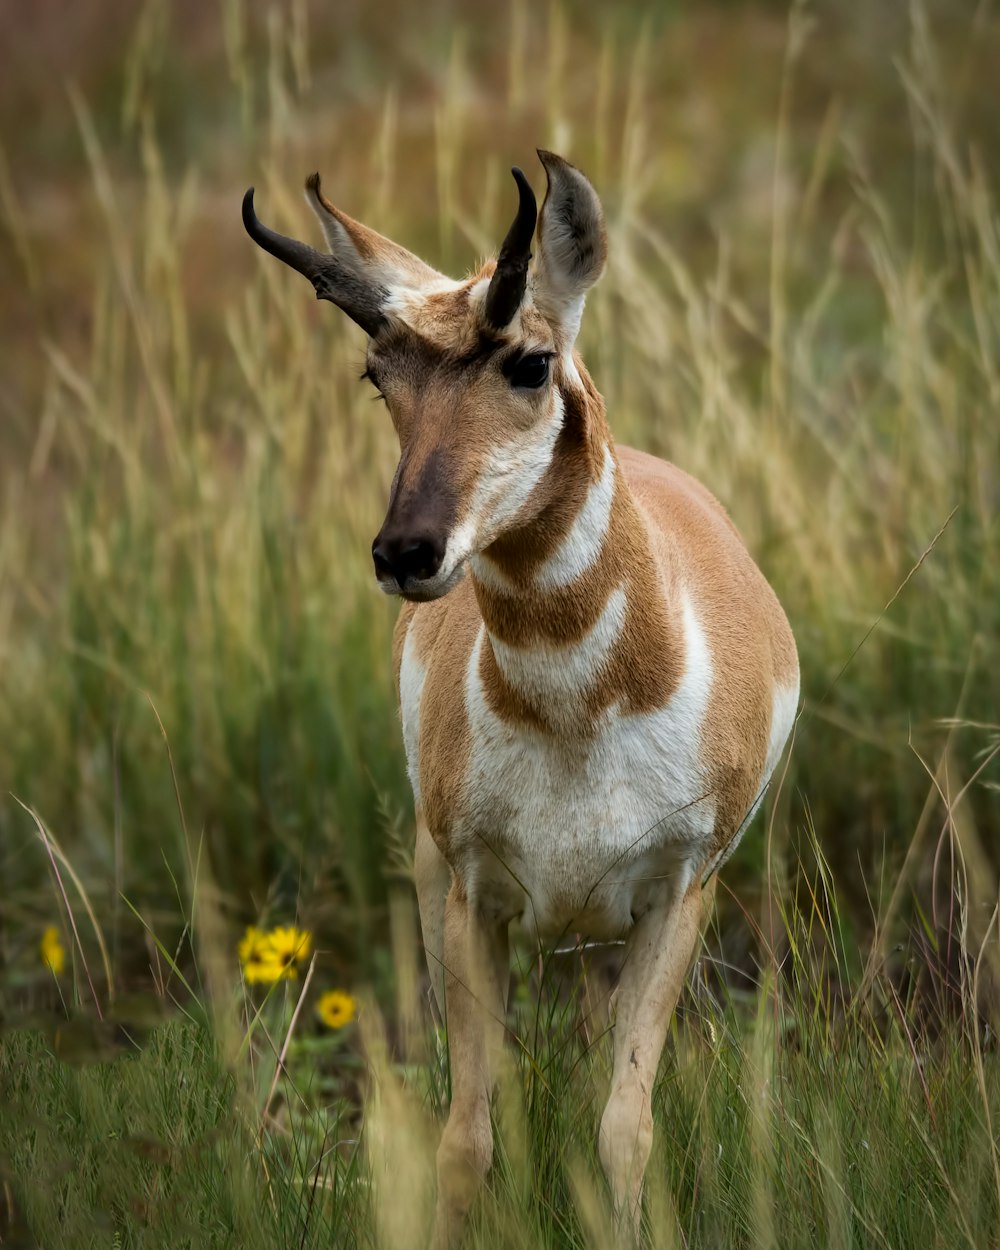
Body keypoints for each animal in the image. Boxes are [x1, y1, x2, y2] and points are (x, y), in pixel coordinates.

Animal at [246, 151, 800, 1245]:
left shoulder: (679, 897)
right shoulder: (472, 897)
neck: (579, 716)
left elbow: (623, 1127)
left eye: (530, 364)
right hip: (436, 883)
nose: (406, 551)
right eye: (379, 375)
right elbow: (467, 1135)